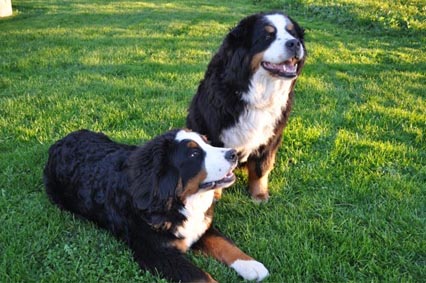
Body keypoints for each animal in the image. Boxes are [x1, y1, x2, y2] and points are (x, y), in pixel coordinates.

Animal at [44, 130, 270, 282]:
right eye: (194, 154)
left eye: (207, 143)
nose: (233, 154)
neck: (174, 201)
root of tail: (62, 141)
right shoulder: (156, 253)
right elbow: (200, 277)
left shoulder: (201, 227)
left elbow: (225, 244)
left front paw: (252, 265)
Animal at [187, 11, 306, 202]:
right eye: (267, 36)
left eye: (292, 33)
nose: (294, 43)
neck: (258, 93)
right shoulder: (215, 130)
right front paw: (215, 195)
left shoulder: (270, 137)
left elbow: (261, 168)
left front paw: (259, 195)